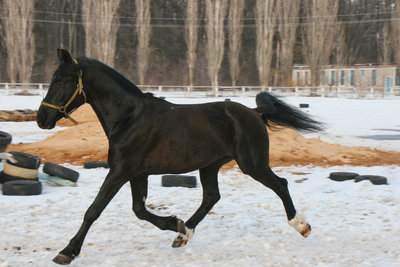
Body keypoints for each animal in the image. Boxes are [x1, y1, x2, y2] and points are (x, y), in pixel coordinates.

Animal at [37, 48, 324, 266]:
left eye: (61, 81)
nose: (42, 118)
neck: (130, 118)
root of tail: (254, 112)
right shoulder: (137, 173)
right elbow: (139, 210)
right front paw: (176, 224)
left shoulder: (120, 171)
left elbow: (93, 210)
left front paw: (67, 252)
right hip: (210, 166)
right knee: (211, 197)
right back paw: (184, 234)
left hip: (252, 164)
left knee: (280, 185)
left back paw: (301, 226)